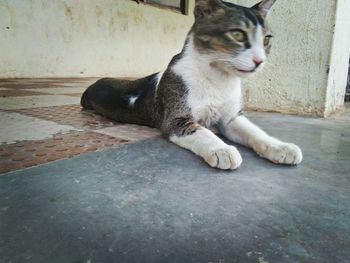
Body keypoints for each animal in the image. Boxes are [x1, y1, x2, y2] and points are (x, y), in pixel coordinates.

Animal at [80, 0, 302, 170]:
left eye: (266, 39)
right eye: (237, 34)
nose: (260, 61)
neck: (218, 80)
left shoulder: (231, 119)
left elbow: (256, 132)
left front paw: (281, 147)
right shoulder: (176, 120)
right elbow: (202, 132)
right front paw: (222, 150)